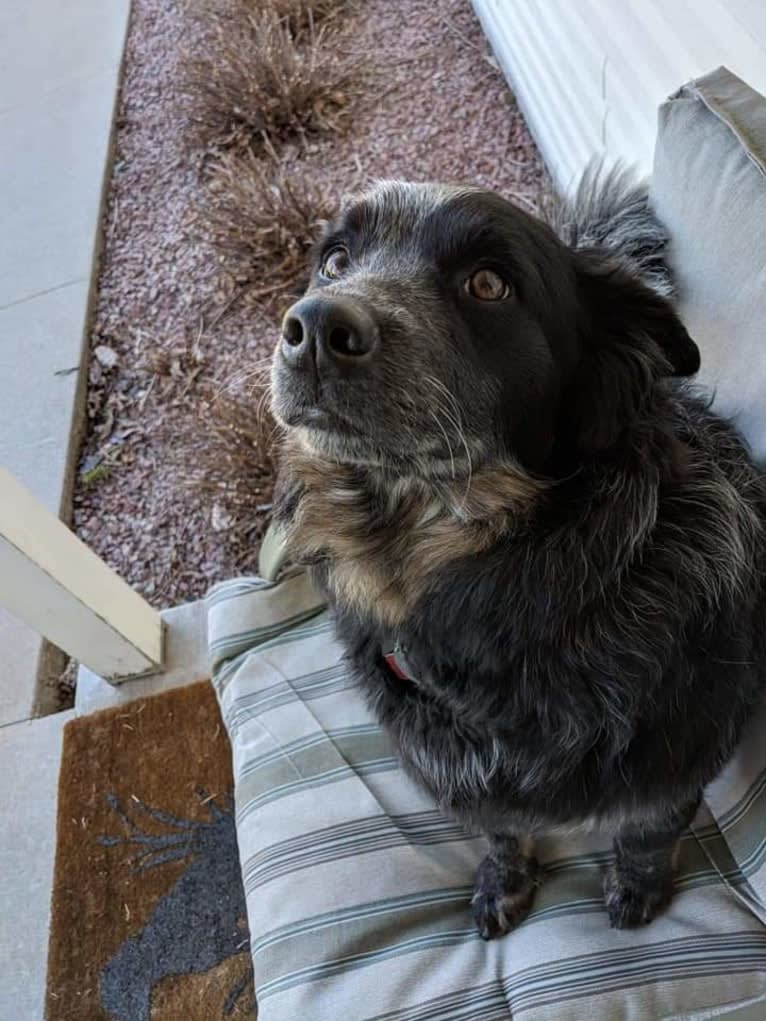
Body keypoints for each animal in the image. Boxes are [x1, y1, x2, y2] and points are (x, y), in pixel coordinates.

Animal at [269, 169, 766, 939]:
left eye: (489, 284)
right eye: (335, 260)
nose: (315, 327)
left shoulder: (681, 753)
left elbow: (648, 830)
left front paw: (638, 886)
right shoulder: (471, 785)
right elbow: (503, 832)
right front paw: (504, 883)